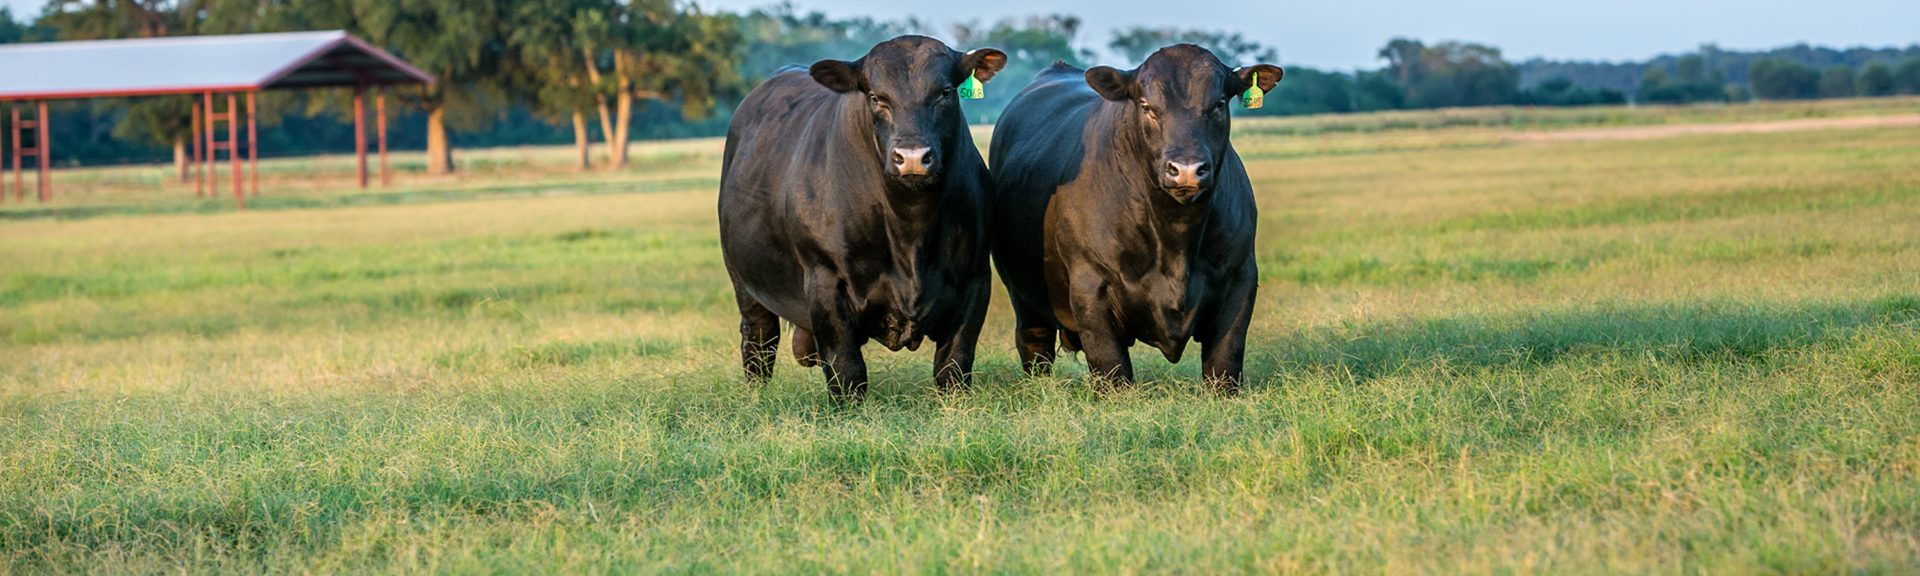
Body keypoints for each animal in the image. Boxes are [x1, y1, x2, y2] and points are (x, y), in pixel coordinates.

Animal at [717, 36, 1008, 400]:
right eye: (875, 97)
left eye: (945, 91)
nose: (912, 157)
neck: (910, 233)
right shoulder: (824, 278)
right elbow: (846, 367)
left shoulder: (974, 277)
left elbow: (954, 363)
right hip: (744, 282)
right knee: (758, 340)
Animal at [988, 45, 1281, 391]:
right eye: (1147, 106)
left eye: (1219, 103)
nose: (1186, 169)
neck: (1176, 238)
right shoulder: (1090, 284)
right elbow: (1111, 366)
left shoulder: (1240, 277)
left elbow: (1225, 362)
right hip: (1023, 296)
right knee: (1034, 345)